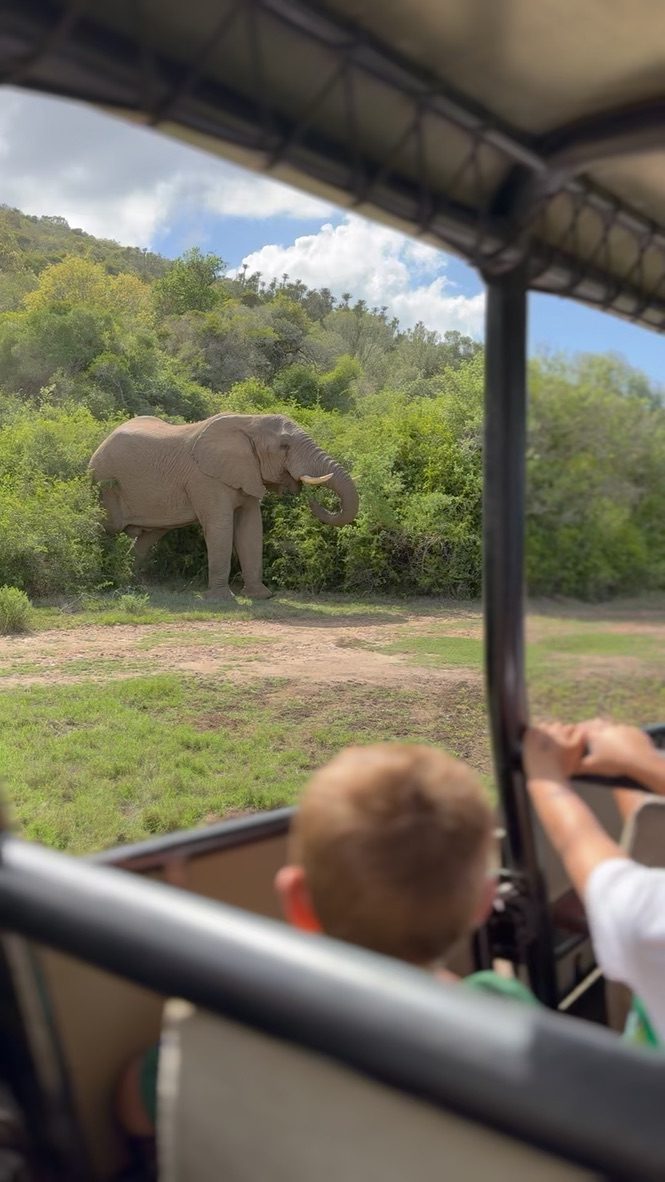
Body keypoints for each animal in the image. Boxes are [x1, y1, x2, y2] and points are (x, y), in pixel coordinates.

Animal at [88, 412, 359, 600]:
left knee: (148, 537)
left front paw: (262, 596)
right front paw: (222, 599)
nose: (309, 495)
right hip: (104, 484)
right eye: (284, 446)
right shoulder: (206, 479)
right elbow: (221, 528)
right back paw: (105, 580)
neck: (249, 421)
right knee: (105, 528)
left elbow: (251, 529)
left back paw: (132, 582)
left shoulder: (246, 474)